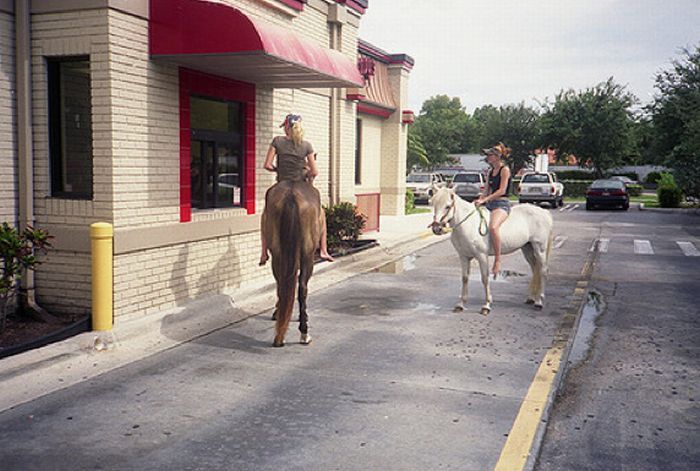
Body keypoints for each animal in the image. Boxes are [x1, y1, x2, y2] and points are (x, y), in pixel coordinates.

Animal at [262, 180, 322, 346]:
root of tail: (291, 195)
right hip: (308, 255)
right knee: (302, 287)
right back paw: (304, 333)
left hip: (277, 254)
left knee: (282, 285)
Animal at [430, 186, 556, 316]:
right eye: (433, 204)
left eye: (447, 206)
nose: (436, 228)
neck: (469, 224)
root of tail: (544, 212)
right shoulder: (463, 257)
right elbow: (465, 278)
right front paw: (460, 304)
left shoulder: (482, 256)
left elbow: (485, 278)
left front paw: (486, 305)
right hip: (527, 248)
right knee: (535, 269)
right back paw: (531, 298)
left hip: (540, 249)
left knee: (543, 270)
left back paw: (539, 302)